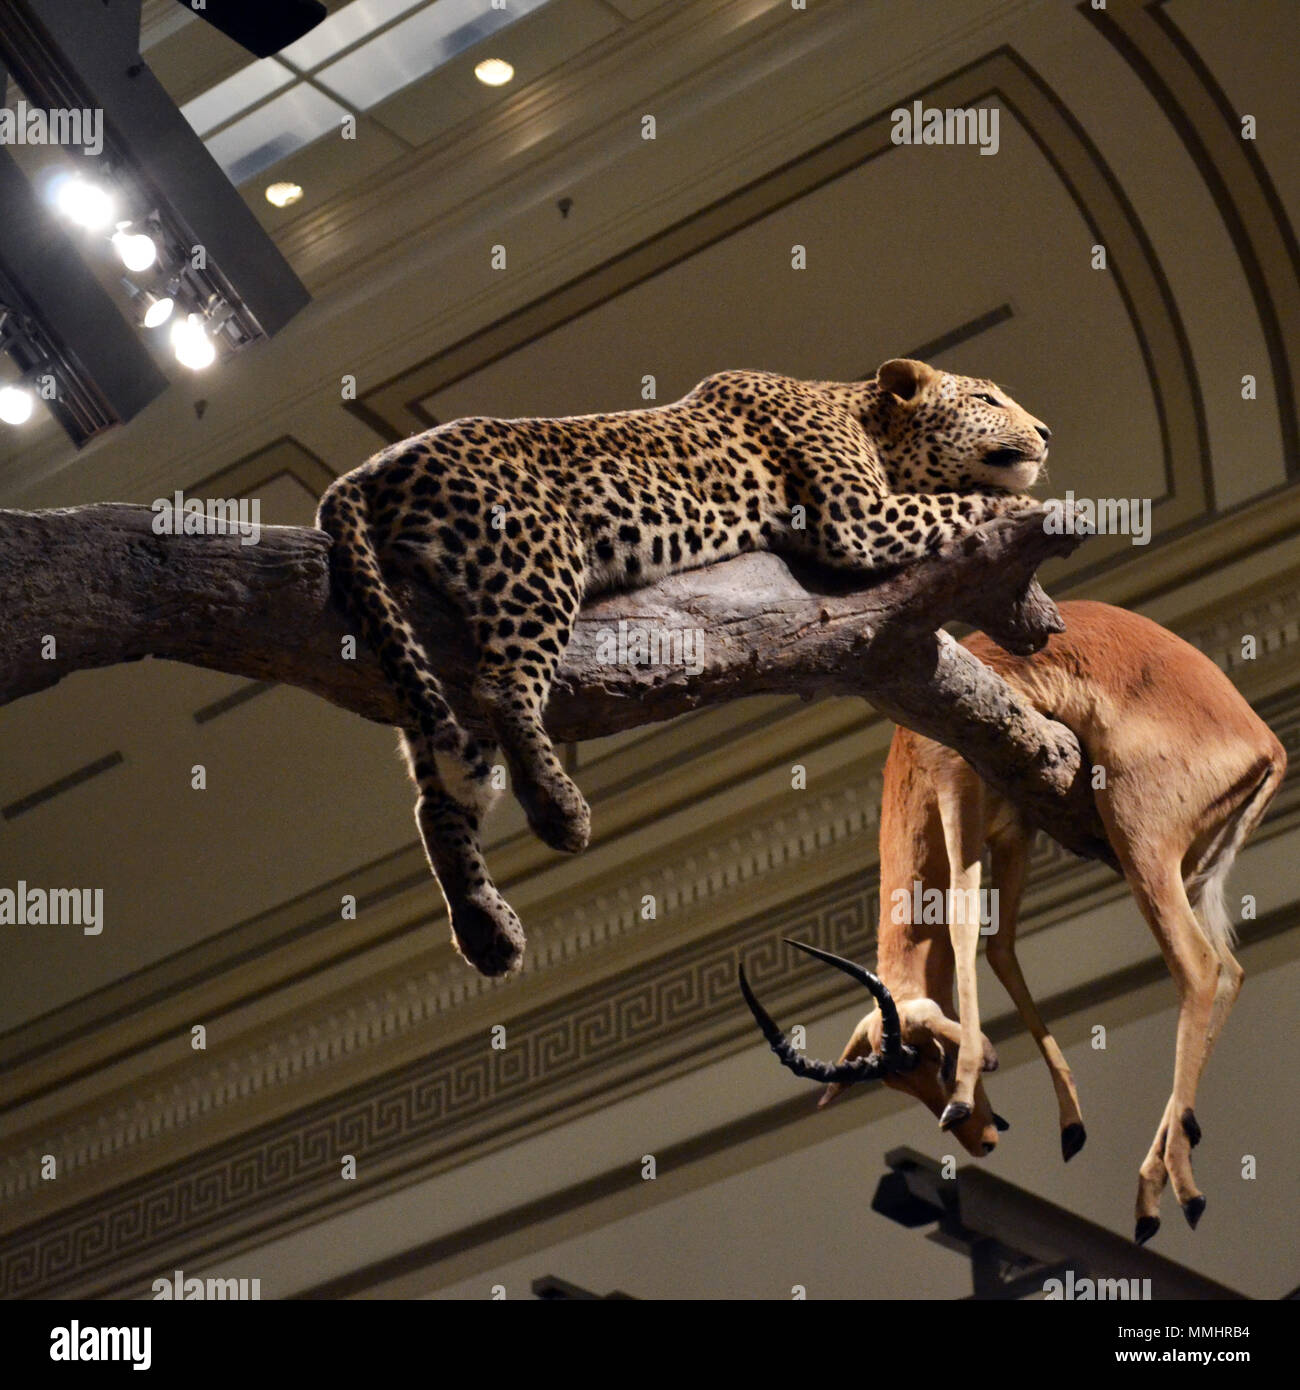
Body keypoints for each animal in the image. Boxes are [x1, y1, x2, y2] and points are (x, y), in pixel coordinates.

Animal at [318, 361, 1056, 978]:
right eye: (988, 399)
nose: (1047, 432)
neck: (863, 415)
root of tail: (367, 470)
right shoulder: (860, 520)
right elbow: (956, 503)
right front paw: (1031, 507)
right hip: (535, 557)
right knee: (501, 687)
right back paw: (558, 807)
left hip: (421, 649)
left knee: (437, 789)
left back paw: (484, 925)